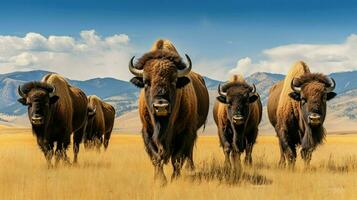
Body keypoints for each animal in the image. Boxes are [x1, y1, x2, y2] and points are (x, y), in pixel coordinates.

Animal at [127, 38, 209, 184]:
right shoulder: (148, 132)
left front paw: (175, 179)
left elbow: (177, 157)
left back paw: (190, 169)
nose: (161, 106)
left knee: (189, 151)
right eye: (146, 82)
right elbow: (156, 157)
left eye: (174, 81)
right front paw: (160, 180)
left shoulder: (185, 132)